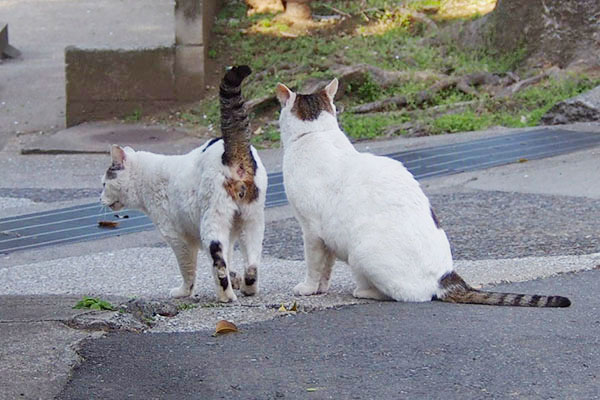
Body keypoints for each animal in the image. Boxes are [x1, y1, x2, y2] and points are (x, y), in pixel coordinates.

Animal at [101, 66, 268, 304]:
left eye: (104, 183)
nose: (99, 198)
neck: (147, 177)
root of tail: (232, 152)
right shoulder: (232, 232)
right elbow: (230, 259)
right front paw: (236, 279)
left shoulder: (177, 238)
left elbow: (188, 269)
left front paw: (184, 292)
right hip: (252, 221)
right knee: (252, 263)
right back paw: (247, 288)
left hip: (212, 220)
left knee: (218, 262)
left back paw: (226, 296)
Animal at [274, 79, 568, 310]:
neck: (316, 133)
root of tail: (446, 276)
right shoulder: (325, 238)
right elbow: (327, 267)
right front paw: (321, 288)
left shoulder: (311, 230)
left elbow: (315, 265)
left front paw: (308, 288)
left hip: (361, 253)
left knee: (402, 295)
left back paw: (364, 291)